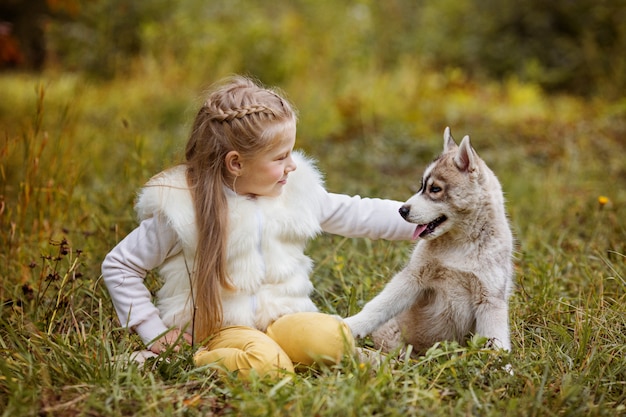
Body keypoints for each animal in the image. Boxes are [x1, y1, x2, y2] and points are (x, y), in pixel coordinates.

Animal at [346, 128, 512, 352]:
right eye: (421, 186)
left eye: (435, 189)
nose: (402, 210)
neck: (460, 244)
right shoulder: (413, 278)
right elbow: (378, 306)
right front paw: (351, 324)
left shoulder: (490, 299)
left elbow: (495, 338)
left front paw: (499, 360)